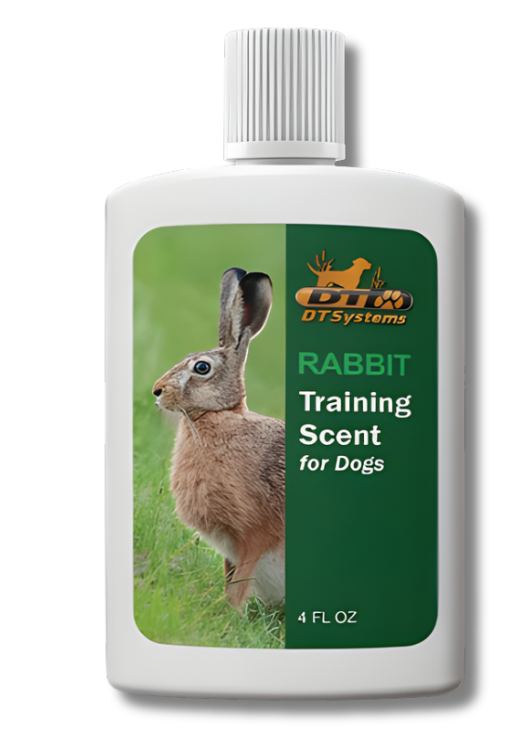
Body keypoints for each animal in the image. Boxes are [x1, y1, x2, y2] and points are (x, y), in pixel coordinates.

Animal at [152, 268, 285, 609]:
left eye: (201, 367)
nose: (157, 390)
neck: (221, 415)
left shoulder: (255, 532)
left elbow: (239, 585)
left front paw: (231, 615)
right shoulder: (231, 547)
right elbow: (230, 580)